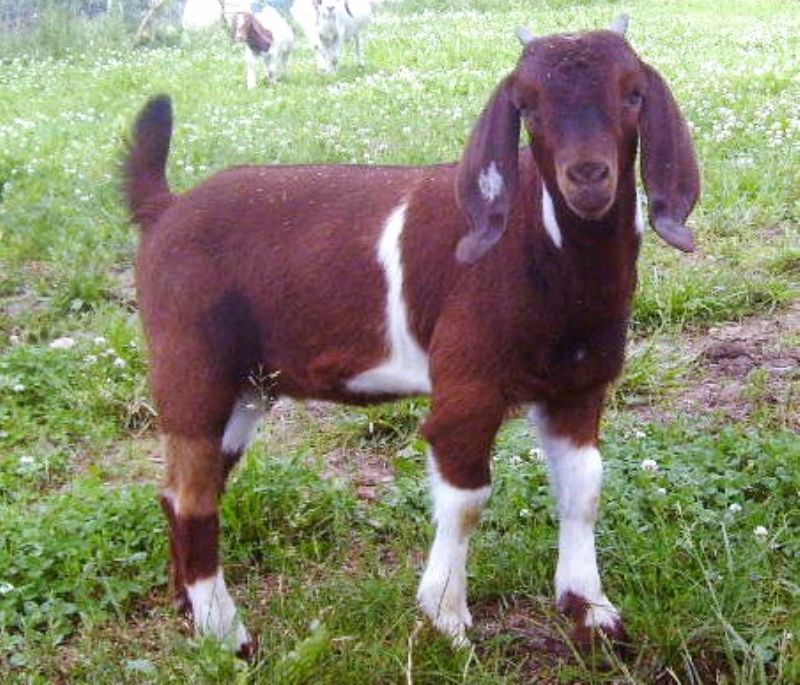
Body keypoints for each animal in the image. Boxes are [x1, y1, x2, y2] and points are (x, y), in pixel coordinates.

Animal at [123, 15, 699, 656]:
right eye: (526, 105)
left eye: (633, 93)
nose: (589, 176)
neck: (540, 243)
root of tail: (164, 210)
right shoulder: (468, 385)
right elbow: (468, 499)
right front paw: (447, 619)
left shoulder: (580, 385)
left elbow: (585, 488)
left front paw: (591, 611)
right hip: (190, 366)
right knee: (195, 497)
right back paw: (229, 635)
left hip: (248, 386)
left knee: (179, 489)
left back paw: (189, 614)